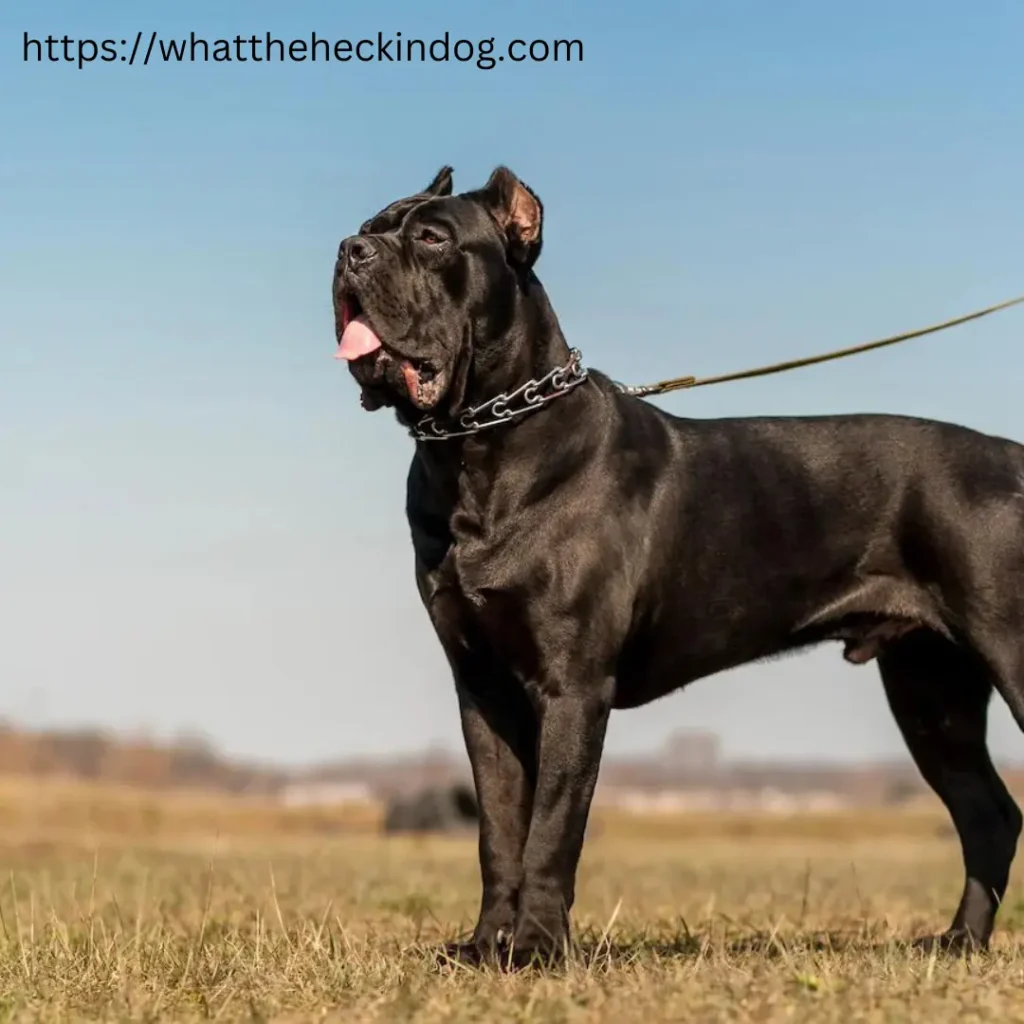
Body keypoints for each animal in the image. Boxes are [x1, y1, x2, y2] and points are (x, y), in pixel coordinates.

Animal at [331, 163, 1024, 962]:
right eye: (370, 225)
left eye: (432, 237)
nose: (350, 251)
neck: (479, 446)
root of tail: (1015, 457)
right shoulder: (483, 689)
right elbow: (499, 829)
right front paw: (485, 946)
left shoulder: (573, 686)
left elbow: (551, 829)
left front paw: (535, 947)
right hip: (929, 691)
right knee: (987, 813)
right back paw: (959, 941)